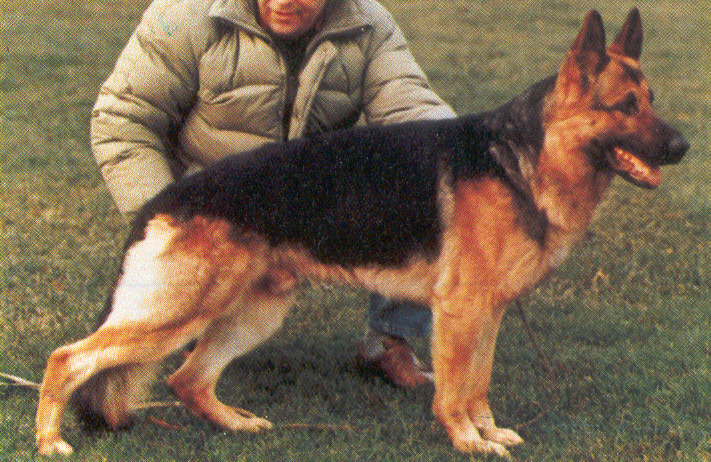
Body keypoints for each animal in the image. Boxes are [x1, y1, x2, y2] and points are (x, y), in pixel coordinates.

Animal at [36, 9, 687, 457]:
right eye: (625, 106)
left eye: (652, 100)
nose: (683, 146)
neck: (524, 156)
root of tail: (162, 201)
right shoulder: (461, 312)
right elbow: (454, 390)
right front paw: (467, 441)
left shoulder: (489, 312)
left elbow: (478, 383)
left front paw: (488, 430)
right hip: (176, 313)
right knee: (67, 359)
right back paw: (49, 441)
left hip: (253, 313)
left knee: (186, 379)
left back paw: (236, 424)